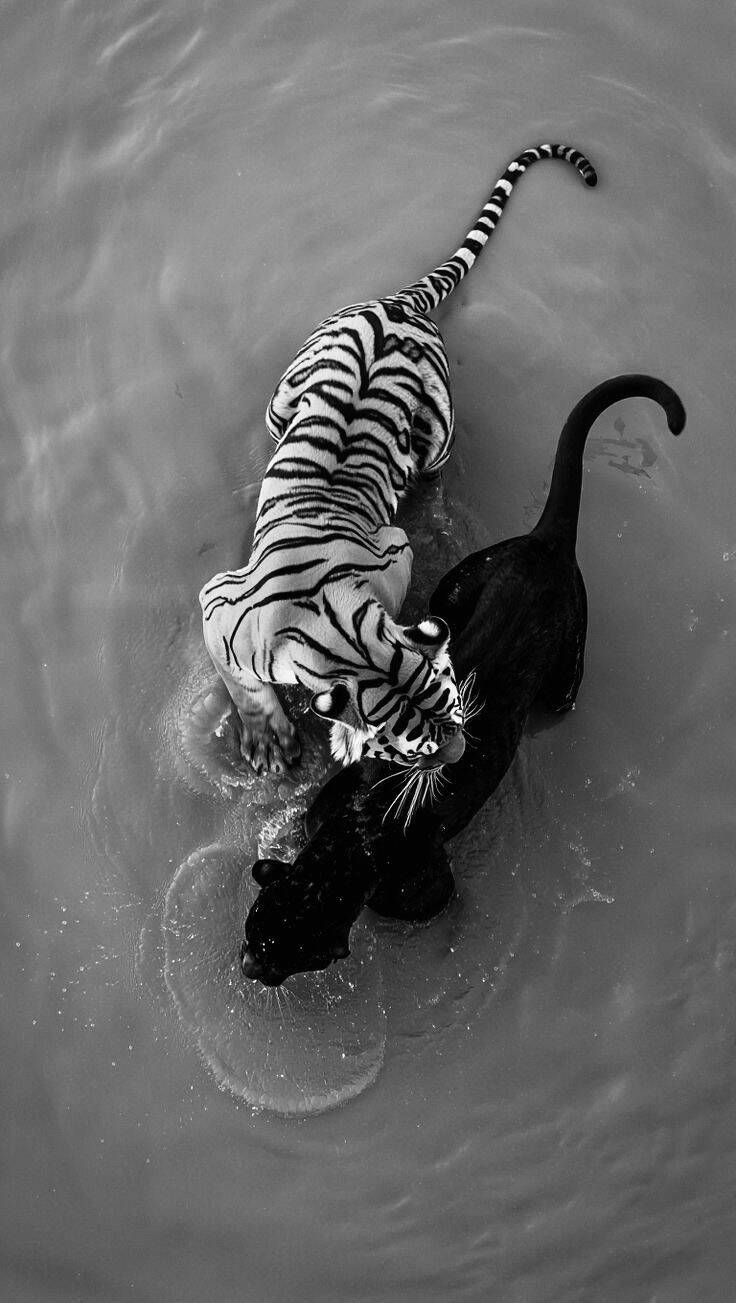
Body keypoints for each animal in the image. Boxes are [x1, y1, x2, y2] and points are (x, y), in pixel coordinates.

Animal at [199, 142, 597, 776]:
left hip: (434, 435)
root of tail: (397, 303)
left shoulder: (395, 549)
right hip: (281, 402)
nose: (458, 756)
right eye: (416, 744)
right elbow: (244, 685)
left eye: (455, 702)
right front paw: (268, 741)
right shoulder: (218, 605)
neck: (333, 630)